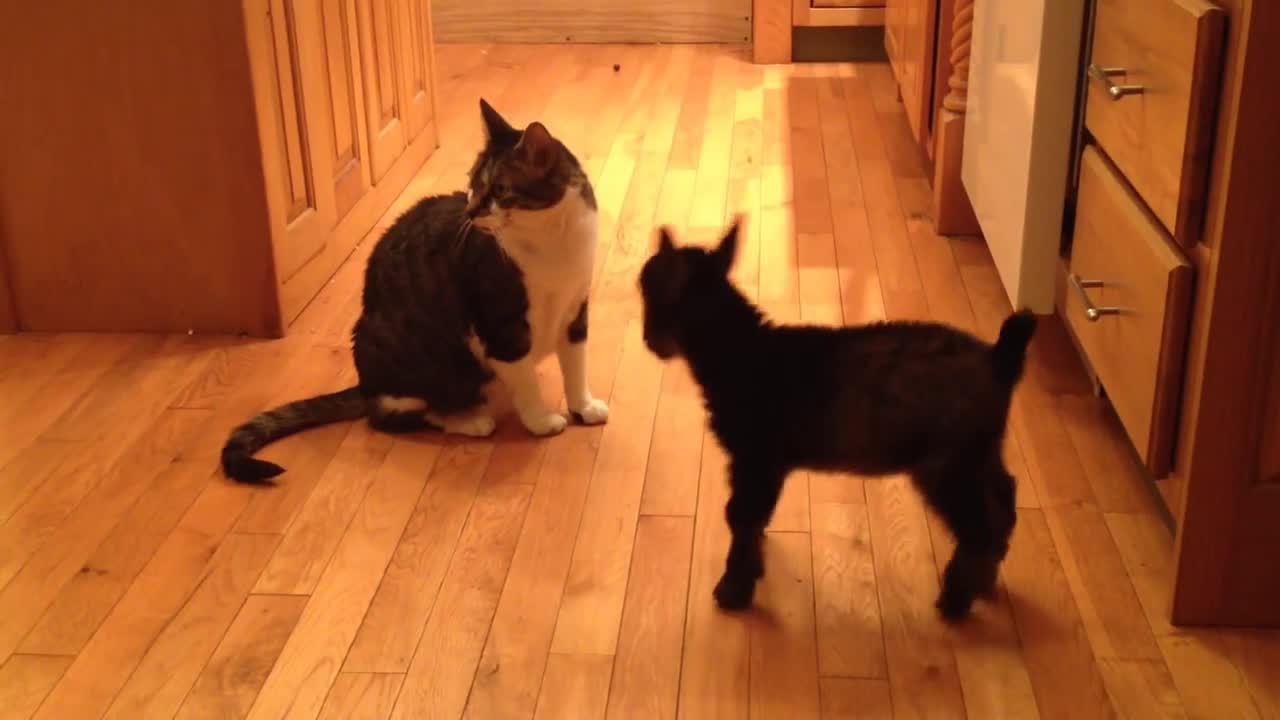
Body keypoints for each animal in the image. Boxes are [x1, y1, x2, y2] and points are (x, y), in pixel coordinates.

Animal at [221, 99, 609, 481]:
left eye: (500, 190)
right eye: (472, 183)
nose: (470, 211)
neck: (553, 241)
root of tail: (365, 385)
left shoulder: (575, 309)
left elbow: (576, 364)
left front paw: (584, 407)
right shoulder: (502, 326)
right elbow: (526, 380)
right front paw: (541, 421)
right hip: (411, 359)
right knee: (395, 415)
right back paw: (469, 420)